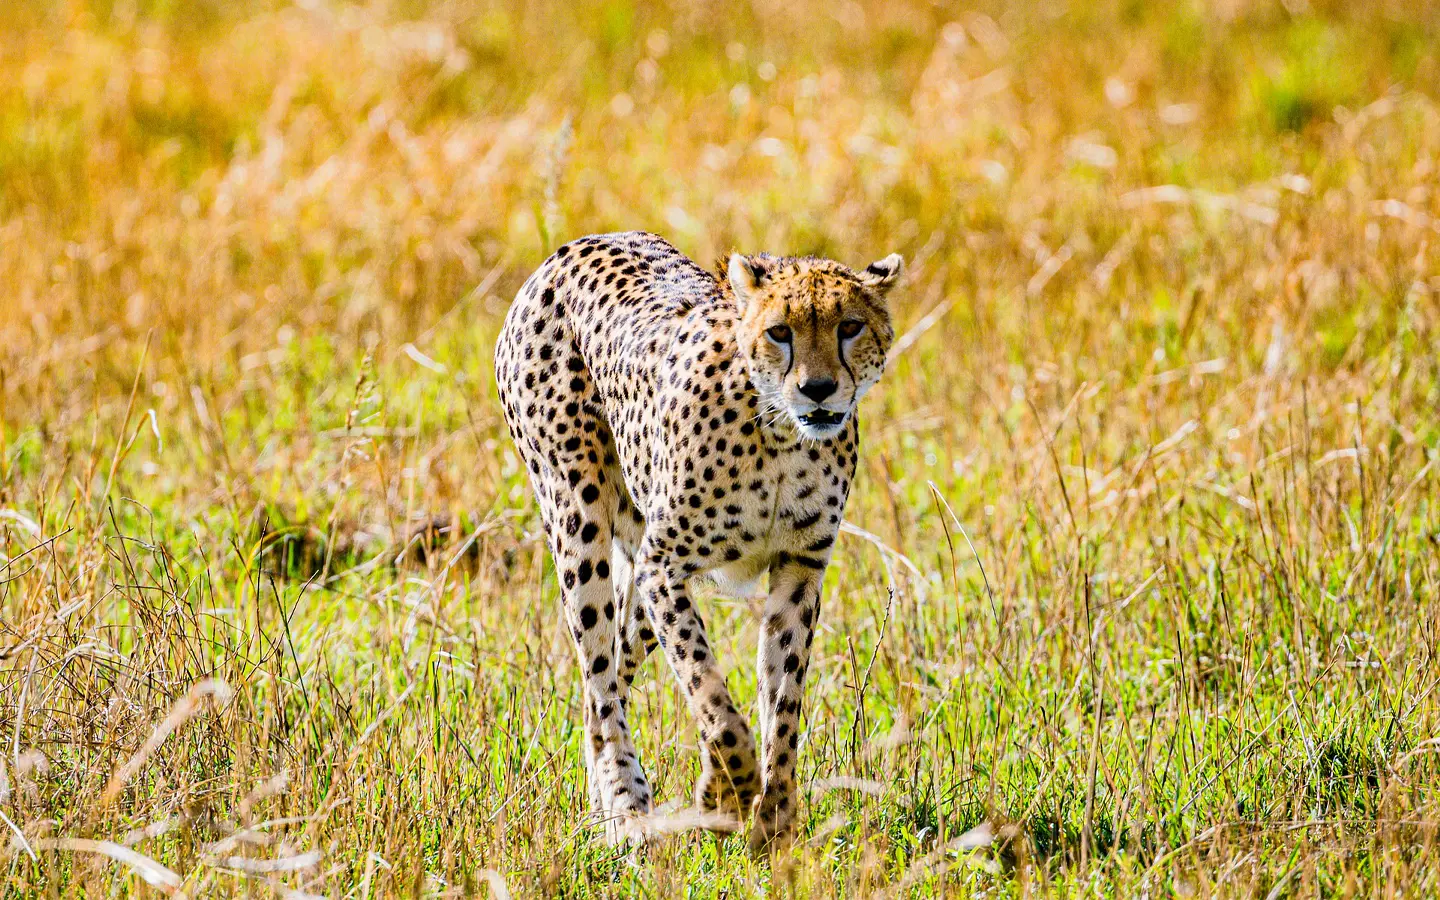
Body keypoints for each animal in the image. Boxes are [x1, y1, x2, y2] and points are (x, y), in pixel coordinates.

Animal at [493, 230, 902, 853]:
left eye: (850, 326)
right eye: (779, 332)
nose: (818, 390)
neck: (781, 433)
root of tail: (578, 244)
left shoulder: (798, 568)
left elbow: (781, 703)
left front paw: (774, 820)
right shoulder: (665, 567)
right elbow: (711, 694)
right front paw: (727, 795)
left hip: (635, 560)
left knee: (613, 668)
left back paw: (608, 803)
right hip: (578, 519)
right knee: (599, 681)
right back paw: (625, 811)